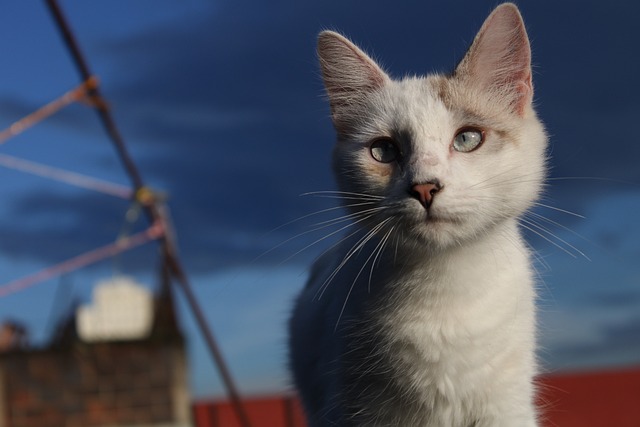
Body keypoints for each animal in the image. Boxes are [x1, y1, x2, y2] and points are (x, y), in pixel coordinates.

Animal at [290, 4, 544, 427]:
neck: (444, 285)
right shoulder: (344, 408)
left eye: (467, 138)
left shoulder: (506, 406)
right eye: (383, 151)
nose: (425, 188)